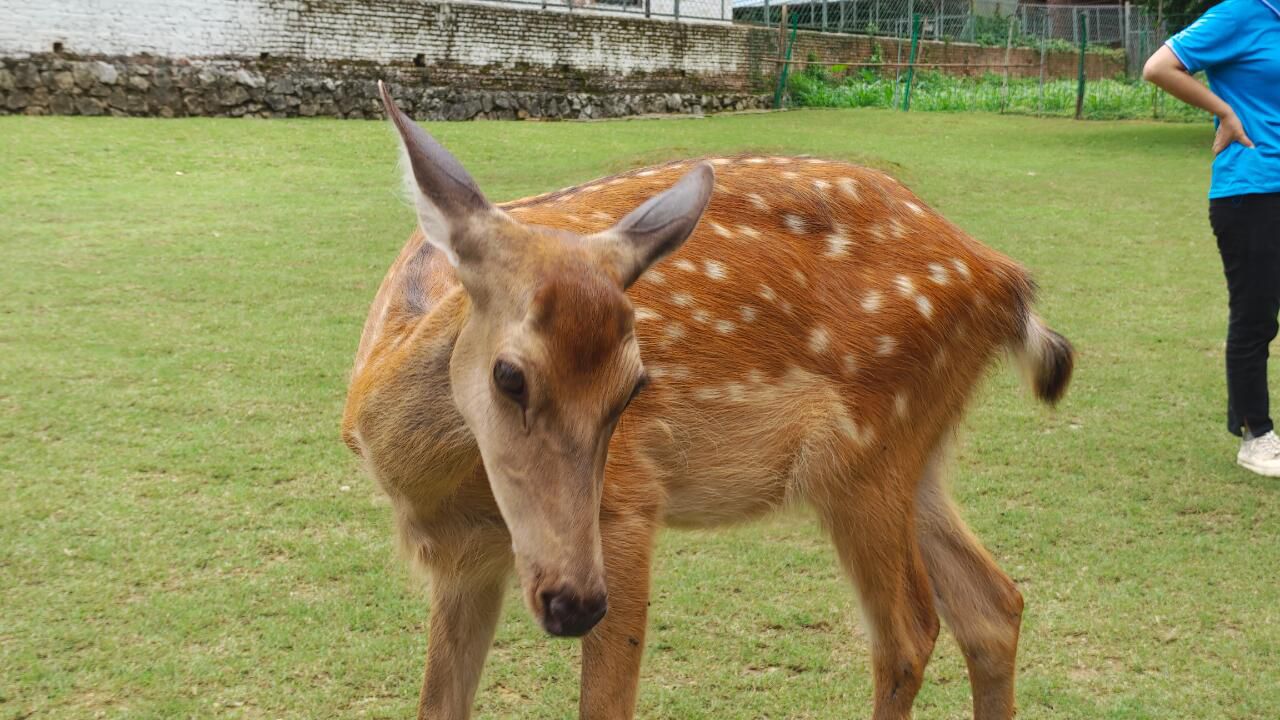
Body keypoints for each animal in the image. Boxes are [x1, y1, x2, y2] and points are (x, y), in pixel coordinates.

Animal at [342, 82, 1074, 720]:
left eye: (635, 385)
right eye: (509, 376)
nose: (573, 603)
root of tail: (1004, 279)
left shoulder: (627, 503)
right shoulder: (464, 560)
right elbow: (438, 705)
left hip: (867, 450)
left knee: (908, 634)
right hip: (912, 455)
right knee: (994, 605)